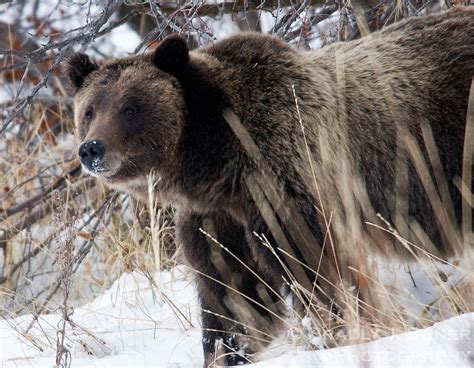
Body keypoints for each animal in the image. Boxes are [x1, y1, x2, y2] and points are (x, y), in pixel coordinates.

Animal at [67, 7, 474, 366]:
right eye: (89, 111)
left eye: (130, 108)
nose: (91, 148)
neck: (216, 162)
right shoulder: (218, 219)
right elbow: (235, 297)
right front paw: (226, 352)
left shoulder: (285, 178)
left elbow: (316, 269)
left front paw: (337, 333)